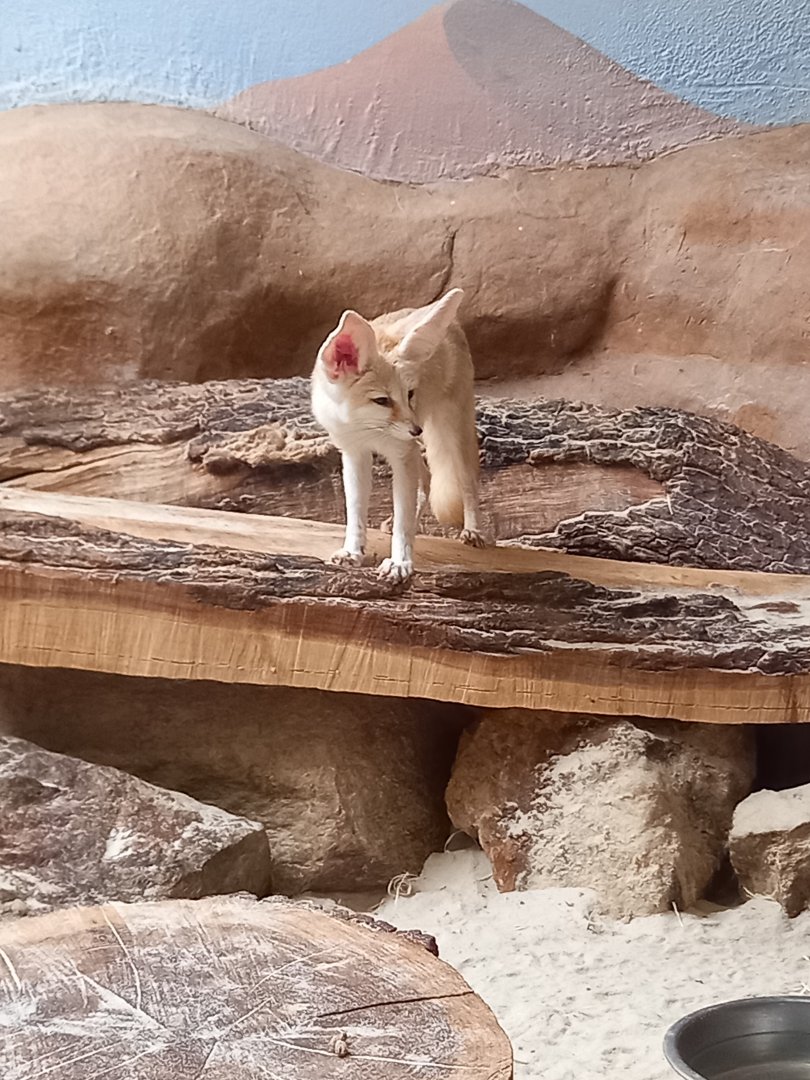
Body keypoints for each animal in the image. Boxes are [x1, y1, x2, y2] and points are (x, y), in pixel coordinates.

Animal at [311, 287, 485, 583]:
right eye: (382, 400)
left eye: (410, 394)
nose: (417, 429)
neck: (364, 427)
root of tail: (453, 325)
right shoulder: (355, 453)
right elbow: (355, 510)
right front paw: (352, 551)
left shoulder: (401, 453)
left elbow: (403, 516)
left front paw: (400, 562)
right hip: (419, 447)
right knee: (427, 480)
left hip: (452, 433)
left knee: (467, 481)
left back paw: (473, 530)